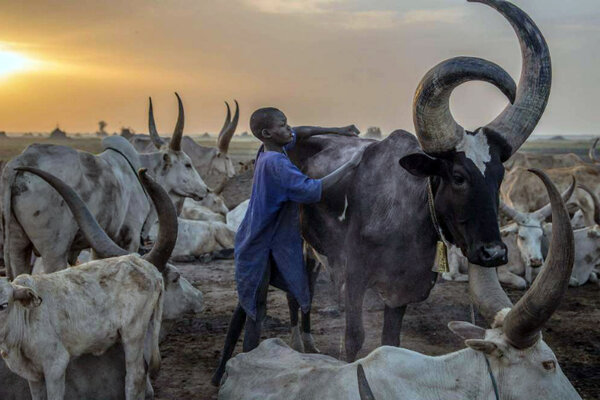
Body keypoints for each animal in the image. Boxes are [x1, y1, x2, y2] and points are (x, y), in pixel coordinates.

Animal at [0, 168, 176, 400]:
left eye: (4, 304)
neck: (24, 317)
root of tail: (144, 266)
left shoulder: (55, 366)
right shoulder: (34, 376)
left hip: (134, 332)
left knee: (135, 377)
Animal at [1, 92, 209, 278]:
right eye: (188, 164)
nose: (205, 190)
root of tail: (21, 160)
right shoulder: (129, 236)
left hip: (18, 245)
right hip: (54, 250)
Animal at [288, 0, 552, 360]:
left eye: (500, 176)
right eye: (457, 176)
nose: (494, 253)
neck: (405, 218)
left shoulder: (400, 293)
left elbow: (390, 341)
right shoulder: (355, 279)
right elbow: (354, 339)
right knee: (299, 289)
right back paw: (301, 341)